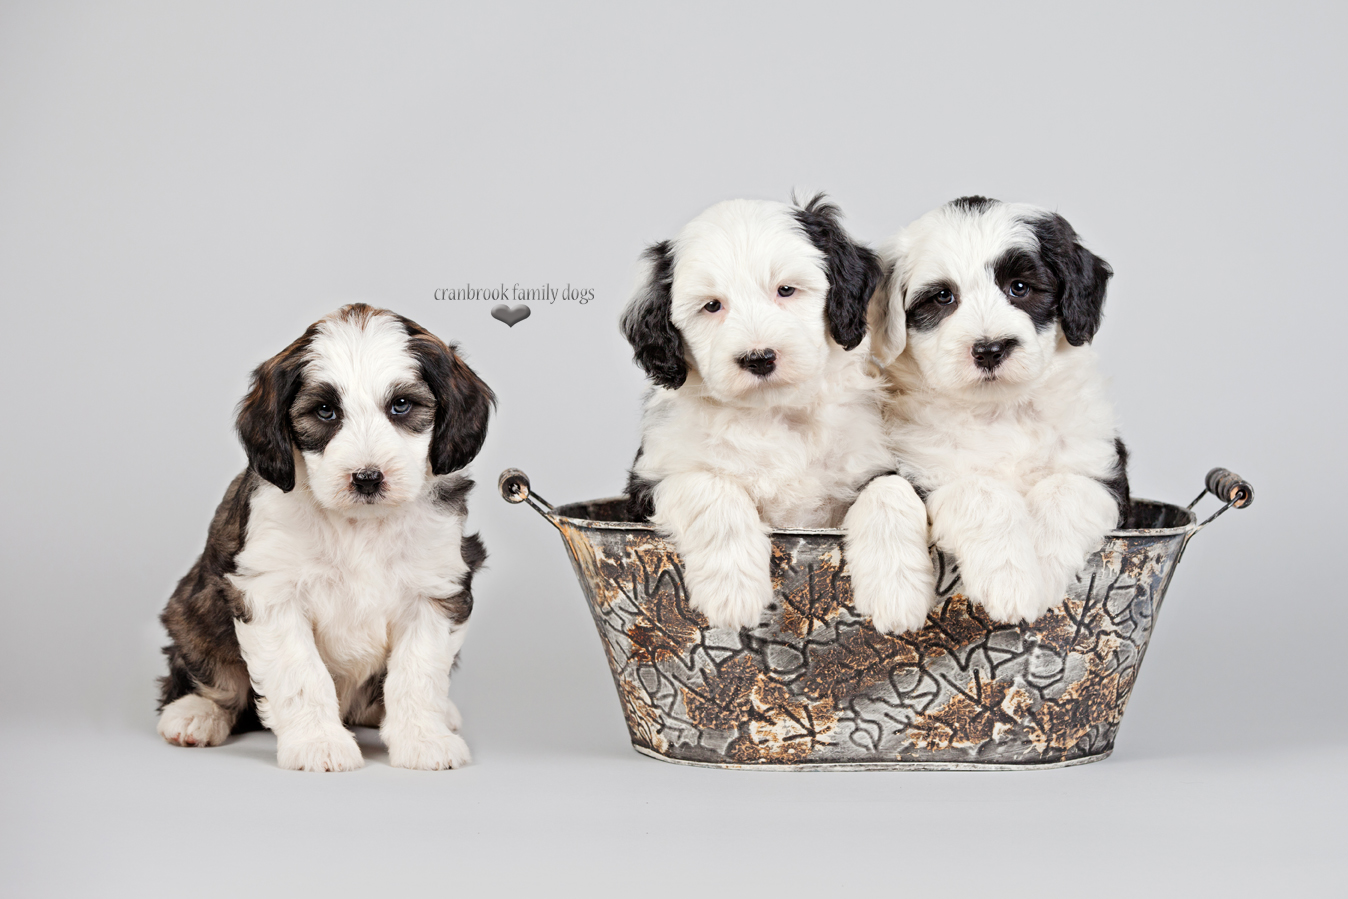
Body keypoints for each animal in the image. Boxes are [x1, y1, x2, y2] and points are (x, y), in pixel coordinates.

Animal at [156, 305, 496, 770]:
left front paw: (424, 739)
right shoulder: (271, 592)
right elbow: (301, 673)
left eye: (401, 405)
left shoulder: (434, 588)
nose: (367, 478)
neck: (360, 525)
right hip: (192, 611)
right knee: (210, 671)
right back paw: (195, 712)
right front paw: (319, 743)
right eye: (324, 412)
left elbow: (418, 672)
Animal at [622, 195, 932, 633]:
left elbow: (890, 490)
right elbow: (710, 486)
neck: (774, 414)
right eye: (711, 306)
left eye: (786, 290)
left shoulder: (870, 458)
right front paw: (733, 590)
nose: (759, 358)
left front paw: (897, 590)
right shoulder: (648, 482)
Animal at [862, 196, 1126, 625]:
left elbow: (1064, 487)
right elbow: (981, 490)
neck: (999, 410)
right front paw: (1010, 580)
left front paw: (1042, 574)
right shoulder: (928, 468)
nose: (990, 349)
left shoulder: (1103, 471)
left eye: (1019, 287)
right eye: (942, 297)